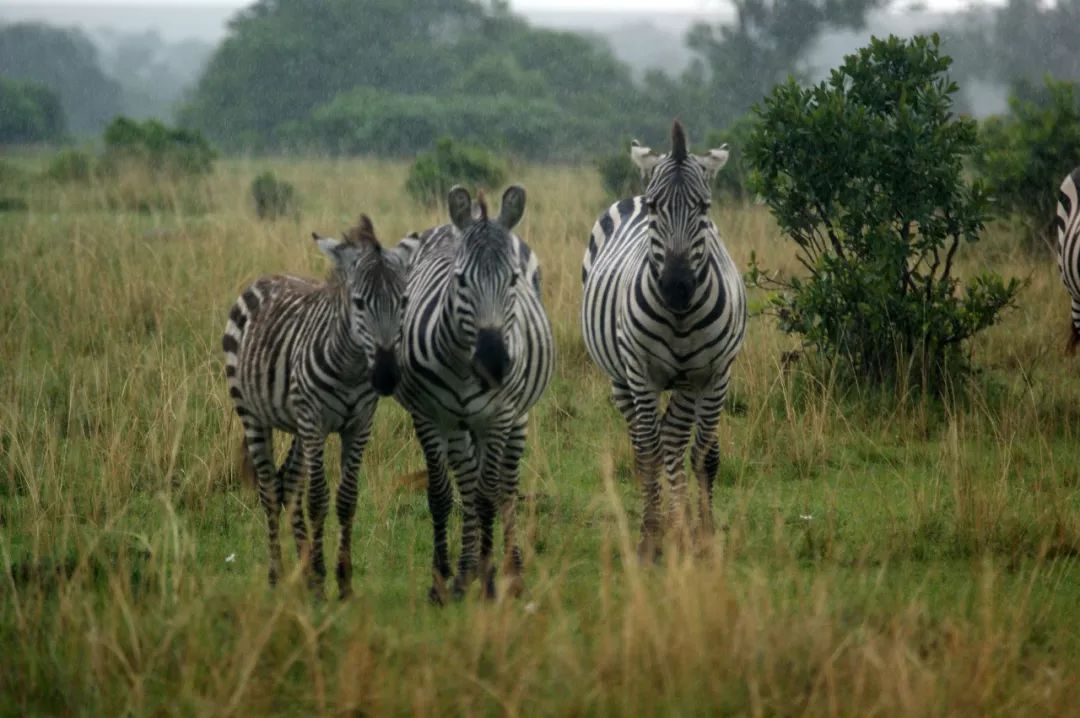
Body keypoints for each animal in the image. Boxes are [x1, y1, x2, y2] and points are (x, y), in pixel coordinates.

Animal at [221, 215, 414, 595]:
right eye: (359, 303)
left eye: (403, 302)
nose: (386, 376)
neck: (352, 368)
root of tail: (270, 276)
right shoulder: (315, 422)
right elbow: (318, 498)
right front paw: (324, 576)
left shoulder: (358, 425)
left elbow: (346, 499)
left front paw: (342, 580)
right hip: (253, 415)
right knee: (270, 488)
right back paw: (278, 574)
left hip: (298, 425)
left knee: (288, 483)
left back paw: (304, 569)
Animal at [395, 183, 552, 600]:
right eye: (460, 280)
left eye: (512, 279)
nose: (494, 363)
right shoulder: (428, 416)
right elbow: (441, 494)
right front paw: (442, 579)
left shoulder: (497, 417)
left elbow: (488, 496)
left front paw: (491, 582)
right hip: (458, 425)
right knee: (466, 481)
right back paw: (466, 572)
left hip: (516, 417)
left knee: (506, 487)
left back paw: (511, 570)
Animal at [583, 120, 743, 557]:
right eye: (657, 208)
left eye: (704, 208)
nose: (676, 286)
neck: (681, 318)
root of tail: (632, 196)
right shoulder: (642, 373)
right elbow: (651, 452)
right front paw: (653, 535)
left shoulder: (711, 375)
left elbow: (701, 455)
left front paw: (703, 535)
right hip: (620, 379)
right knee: (644, 445)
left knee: (674, 438)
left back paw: (680, 522)